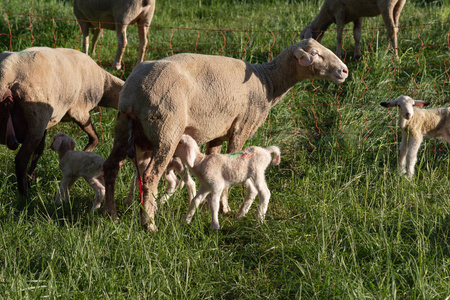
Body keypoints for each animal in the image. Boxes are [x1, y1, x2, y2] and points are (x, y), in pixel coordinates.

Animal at [0, 47, 123, 195]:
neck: (105, 84)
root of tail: (6, 74)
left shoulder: (46, 123)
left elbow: (39, 150)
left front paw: (32, 179)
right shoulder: (79, 111)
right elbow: (95, 138)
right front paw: (83, 154)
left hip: (36, 121)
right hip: (36, 121)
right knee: (21, 160)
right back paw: (24, 195)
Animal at [104, 37, 348, 230]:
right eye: (315, 54)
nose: (344, 71)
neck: (267, 84)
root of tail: (135, 92)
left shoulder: (217, 133)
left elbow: (216, 159)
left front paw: (207, 205)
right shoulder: (242, 127)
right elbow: (233, 160)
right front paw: (225, 208)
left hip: (123, 126)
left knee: (111, 166)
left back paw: (111, 214)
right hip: (167, 130)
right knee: (150, 176)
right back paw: (149, 224)